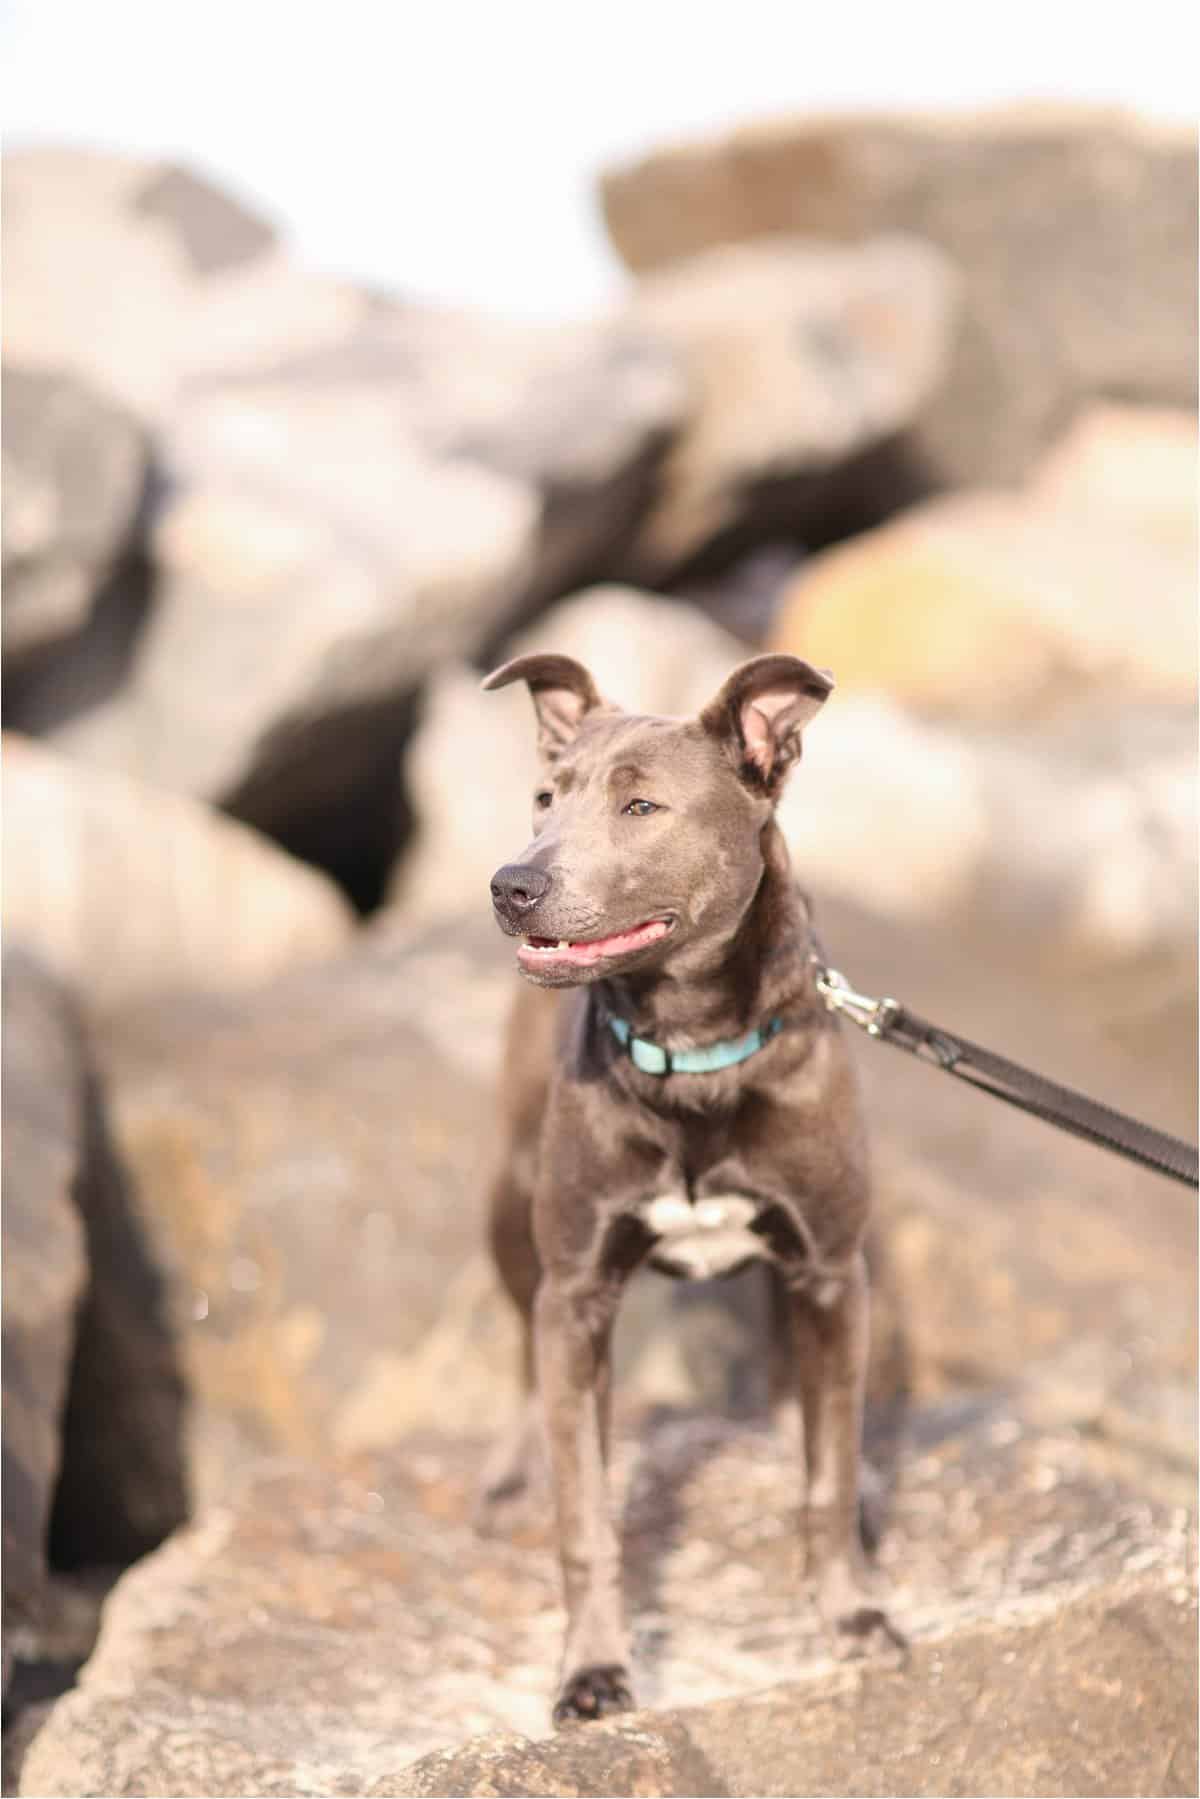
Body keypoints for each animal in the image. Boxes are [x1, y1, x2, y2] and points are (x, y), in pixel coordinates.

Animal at [478, 654, 899, 1719]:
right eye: (545, 798)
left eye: (642, 805)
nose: (512, 882)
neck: (694, 1051)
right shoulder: (578, 1293)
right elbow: (587, 1517)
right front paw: (592, 1670)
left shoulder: (830, 1266)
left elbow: (826, 1473)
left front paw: (852, 1615)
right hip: (507, 1209)